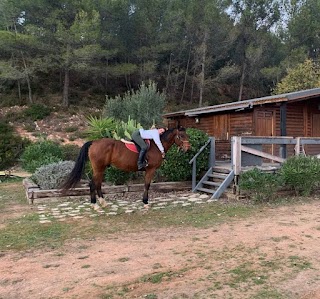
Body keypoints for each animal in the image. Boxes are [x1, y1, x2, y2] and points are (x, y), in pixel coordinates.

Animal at [62, 127, 190, 209]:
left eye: (187, 135)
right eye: (181, 136)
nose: (187, 148)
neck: (156, 145)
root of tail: (94, 142)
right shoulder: (150, 170)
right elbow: (147, 185)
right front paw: (145, 202)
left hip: (101, 169)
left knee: (97, 184)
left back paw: (103, 203)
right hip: (98, 168)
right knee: (92, 184)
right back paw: (95, 205)